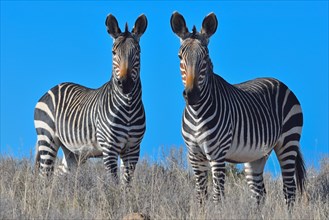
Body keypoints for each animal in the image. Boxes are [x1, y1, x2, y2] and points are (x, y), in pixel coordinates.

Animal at [34, 13, 147, 185]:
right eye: (113, 52)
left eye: (138, 52)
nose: (125, 84)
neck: (128, 107)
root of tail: (52, 88)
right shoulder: (109, 148)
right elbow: (114, 183)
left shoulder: (133, 149)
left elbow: (126, 184)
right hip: (47, 138)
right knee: (43, 176)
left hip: (73, 152)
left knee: (59, 174)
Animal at [170, 11, 306, 208]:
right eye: (180, 57)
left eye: (205, 57)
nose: (192, 95)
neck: (197, 113)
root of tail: (279, 82)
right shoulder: (194, 155)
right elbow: (200, 196)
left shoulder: (217, 155)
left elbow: (217, 196)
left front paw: (217, 212)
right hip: (256, 155)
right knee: (259, 194)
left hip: (288, 141)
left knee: (289, 190)